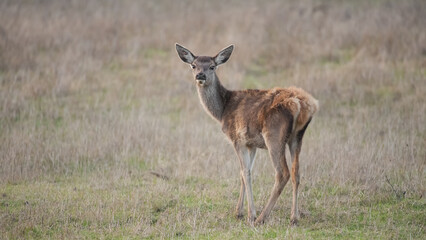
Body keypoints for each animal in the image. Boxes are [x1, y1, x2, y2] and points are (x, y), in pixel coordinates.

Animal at [175, 43, 318, 225]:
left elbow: (245, 172)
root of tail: (302, 104)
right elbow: (246, 171)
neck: (222, 111)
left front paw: (250, 214)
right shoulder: (252, 143)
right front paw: (239, 211)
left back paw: (262, 218)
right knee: (296, 172)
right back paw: (294, 217)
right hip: (297, 137)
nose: (200, 75)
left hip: (274, 135)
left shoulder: (237, 138)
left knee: (282, 173)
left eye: (212, 66)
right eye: (193, 65)